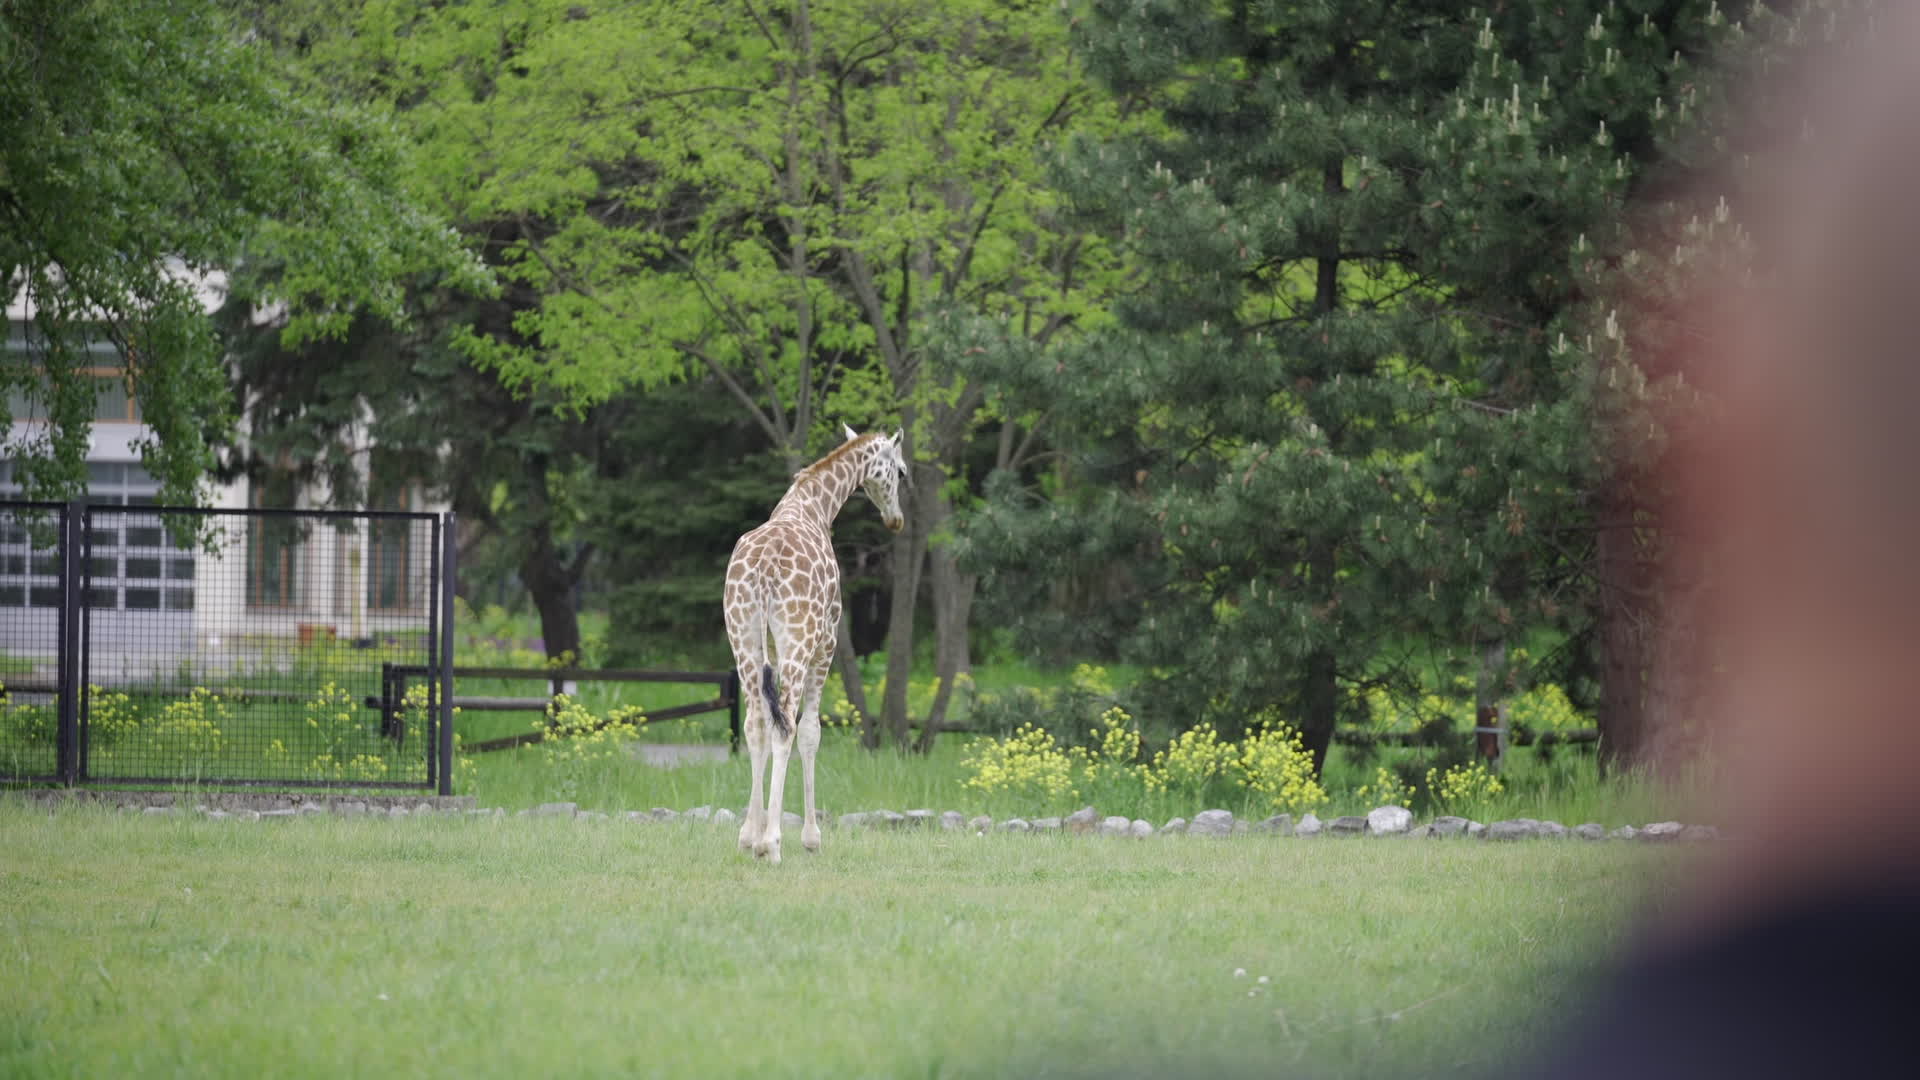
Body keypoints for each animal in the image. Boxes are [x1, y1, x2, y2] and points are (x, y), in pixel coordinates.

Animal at [724, 425, 908, 863]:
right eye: (902, 472)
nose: (896, 519)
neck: (815, 506)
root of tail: (765, 570)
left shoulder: (772, 650)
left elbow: (764, 725)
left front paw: (751, 834)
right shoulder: (828, 642)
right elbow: (811, 732)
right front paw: (810, 838)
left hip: (743, 639)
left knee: (756, 723)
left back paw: (750, 838)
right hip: (799, 640)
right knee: (786, 726)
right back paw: (773, 844)